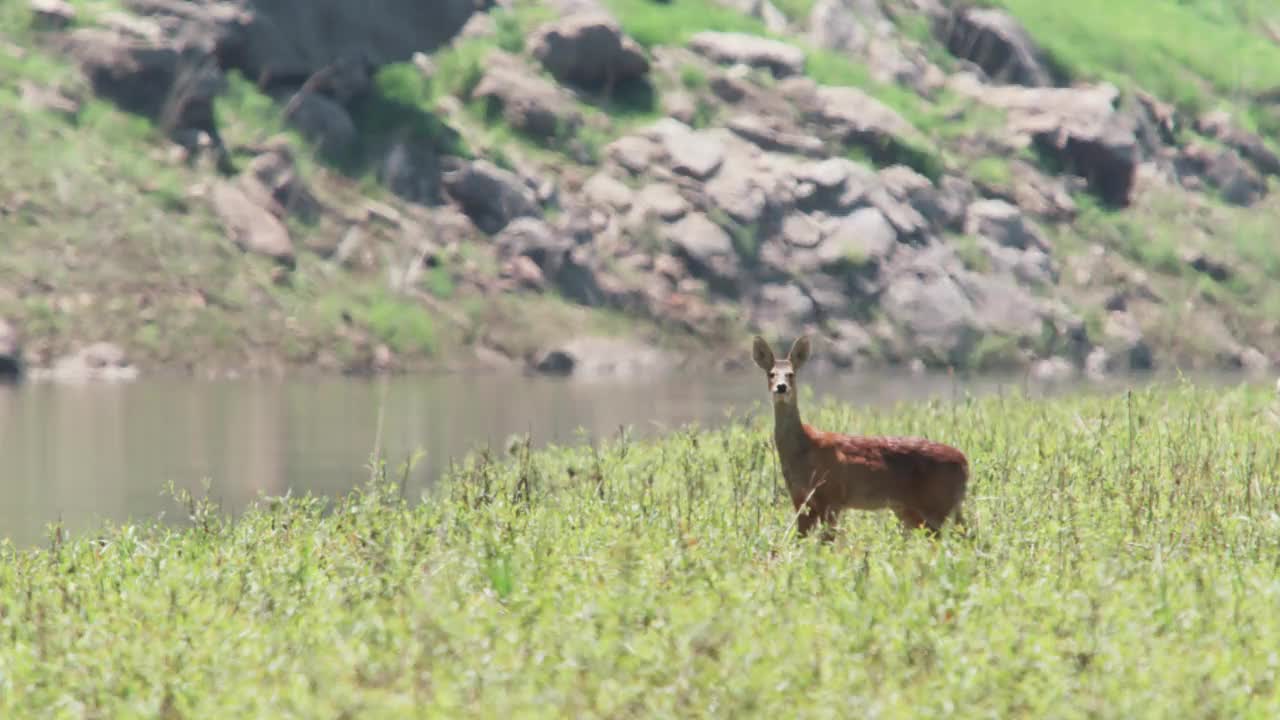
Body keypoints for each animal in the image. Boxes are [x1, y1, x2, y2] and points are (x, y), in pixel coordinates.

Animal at [747, 335, 967, 538]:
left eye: (791, 374)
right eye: (771, 374)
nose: (781, 387)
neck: (803, 449)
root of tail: (965, 462)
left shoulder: (831, 496)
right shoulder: (800, 499)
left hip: (939, 502)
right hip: (910, 509)